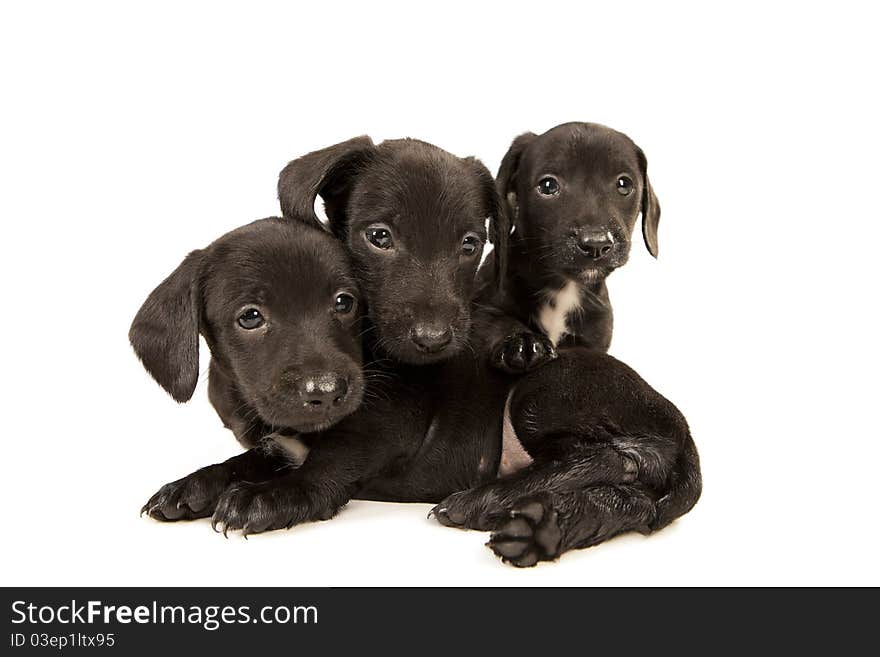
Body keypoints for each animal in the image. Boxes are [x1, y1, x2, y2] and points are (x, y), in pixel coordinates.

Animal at [131, 218, 364, 520]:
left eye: (344, 302)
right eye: (250, 317)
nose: (325, 391)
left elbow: (334, 459)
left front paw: (269, 497)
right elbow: (244, 461)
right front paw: (194, 484)